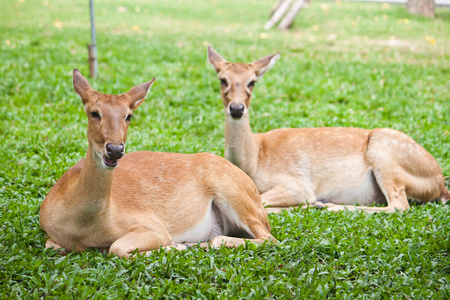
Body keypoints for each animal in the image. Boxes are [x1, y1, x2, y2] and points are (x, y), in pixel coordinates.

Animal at [39, 68, 274, 258]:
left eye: (129, 116)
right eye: (94, 113)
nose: (115, 149)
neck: (82, 225)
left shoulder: (151, 224)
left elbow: (117, 247)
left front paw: (177, 246)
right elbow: (52, 245)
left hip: (234, 194)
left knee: (268, 238)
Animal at [207, 46, 450, 213]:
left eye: (252, 82)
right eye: (222, 79)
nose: (236, 108)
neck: (253, 160)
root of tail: (440, 185)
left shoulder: (298, 184)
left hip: (385, 153)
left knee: (399, 205)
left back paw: (327, 206)